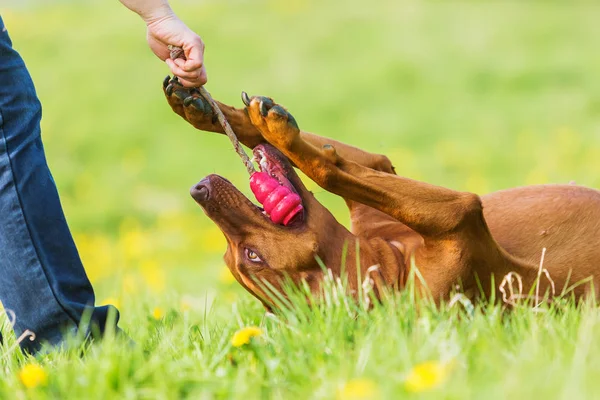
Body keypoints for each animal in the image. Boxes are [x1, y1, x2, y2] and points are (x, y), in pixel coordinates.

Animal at [163, 77, 600, 310]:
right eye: (250, 256)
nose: (199, 190)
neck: (396, 261)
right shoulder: (458, 216)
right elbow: (328, 170)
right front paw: (278, 131)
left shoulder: (376, 172)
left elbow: (333, 158)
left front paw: (204, 109)